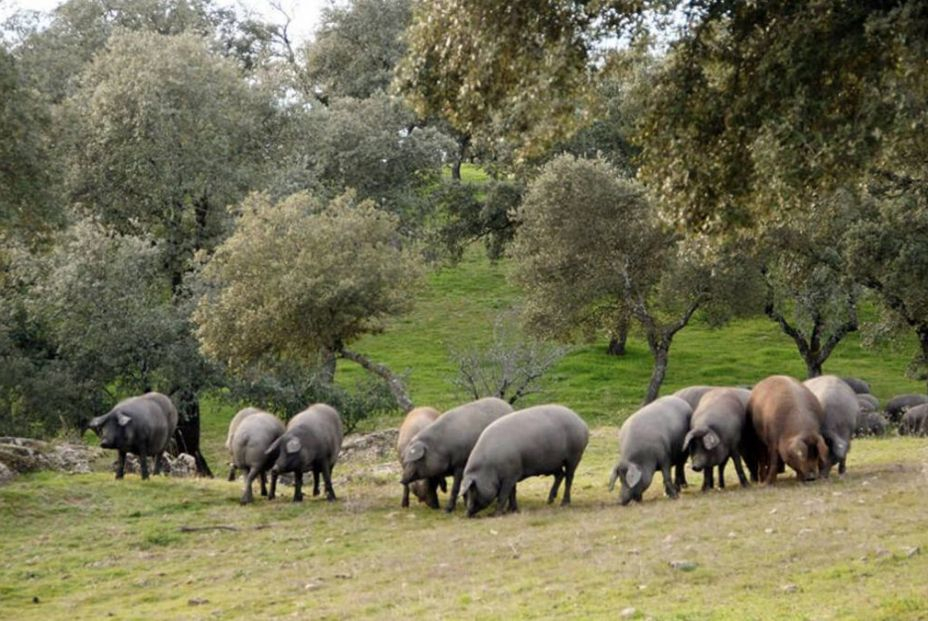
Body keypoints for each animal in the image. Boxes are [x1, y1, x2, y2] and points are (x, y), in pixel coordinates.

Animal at [462, 404, 592, 516]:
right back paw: (549, 501)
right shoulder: (513, 474)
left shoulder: (510, 476)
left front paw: (496, 514)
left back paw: (564, 504)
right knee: (560, 474)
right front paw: (512, 510)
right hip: (553, 463)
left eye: (472, 490)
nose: (467, 514)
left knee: (569, 478)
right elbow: (512, 493)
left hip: (574, 455)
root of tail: (582, 422)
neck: (489, 468)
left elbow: (504, 495)